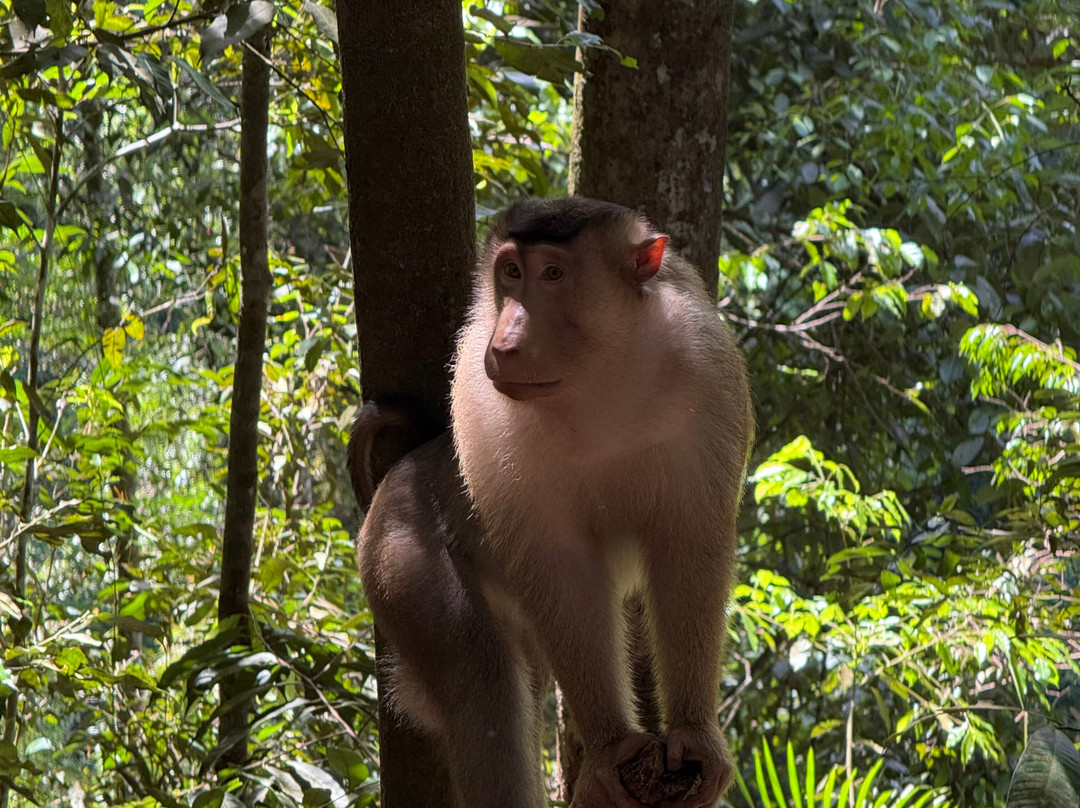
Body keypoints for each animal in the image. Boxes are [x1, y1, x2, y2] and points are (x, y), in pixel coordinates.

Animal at [352, 197, 753, 808]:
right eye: (511, 273)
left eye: (554, 274)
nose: (506, 341)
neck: (599, 380)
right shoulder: (479, 398)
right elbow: (557, 566)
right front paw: (610, 748)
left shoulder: (708, 371)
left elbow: (689, 544)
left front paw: (694, 733)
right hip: (395, 547)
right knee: (480, 677)